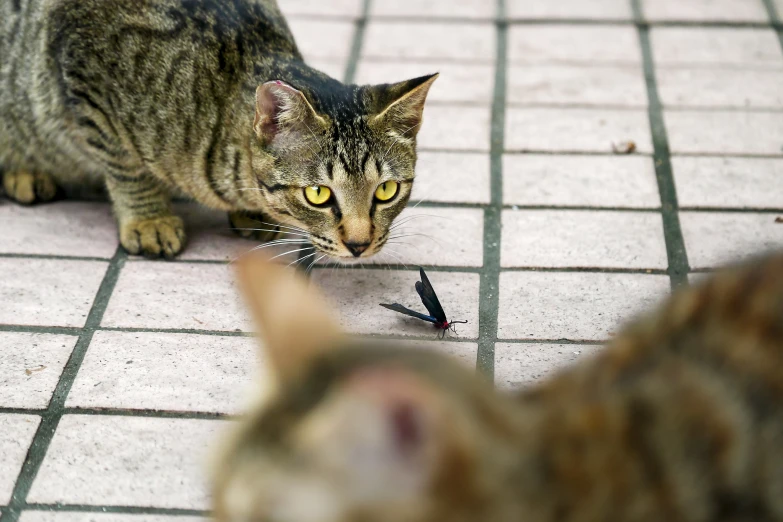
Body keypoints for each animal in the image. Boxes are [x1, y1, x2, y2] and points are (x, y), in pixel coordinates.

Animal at [0, 0, 438, 258]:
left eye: (386, 190)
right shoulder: (86, 87)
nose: (360, 245)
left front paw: (253, 214)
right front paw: (148, 219)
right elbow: (129, 167)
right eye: (318, 195)